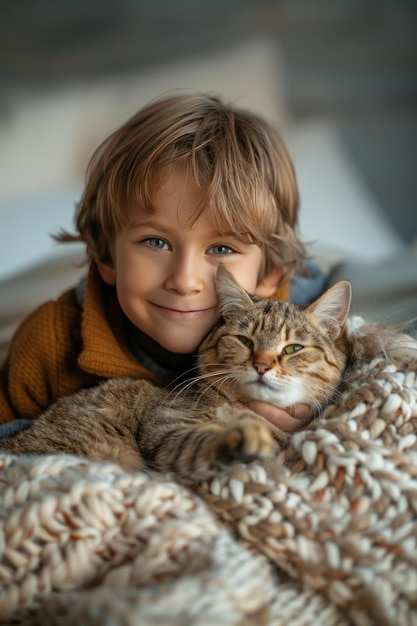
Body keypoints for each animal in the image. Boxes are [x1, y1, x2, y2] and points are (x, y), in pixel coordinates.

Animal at [0, 266, 352, 480]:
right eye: (244, 340)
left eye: (292, 348)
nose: (262, 365)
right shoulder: (166, 431)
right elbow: (202, 441)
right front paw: (243, 438)